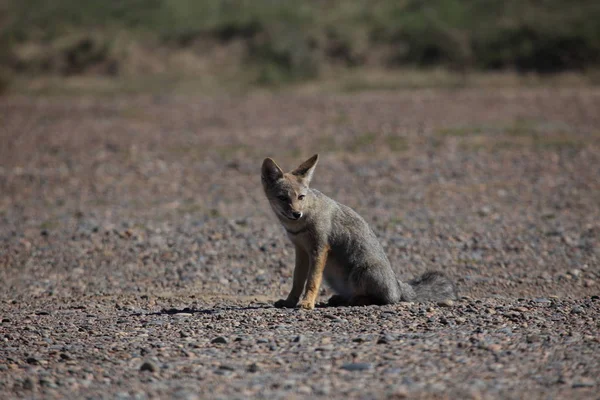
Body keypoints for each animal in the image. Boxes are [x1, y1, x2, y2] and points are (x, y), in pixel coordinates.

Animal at [260, 153, 458, 310]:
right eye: (283, 198)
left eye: (301, 197)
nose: (296, 214)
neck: (300, 224)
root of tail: (398, 286)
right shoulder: (301, 251)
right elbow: (297, 281)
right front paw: (290, 301)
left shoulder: (319, 248)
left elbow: (312, 281)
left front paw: (307, 303)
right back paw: (341, 299)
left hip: (360, 271)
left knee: (384, 300)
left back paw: (354, 300)